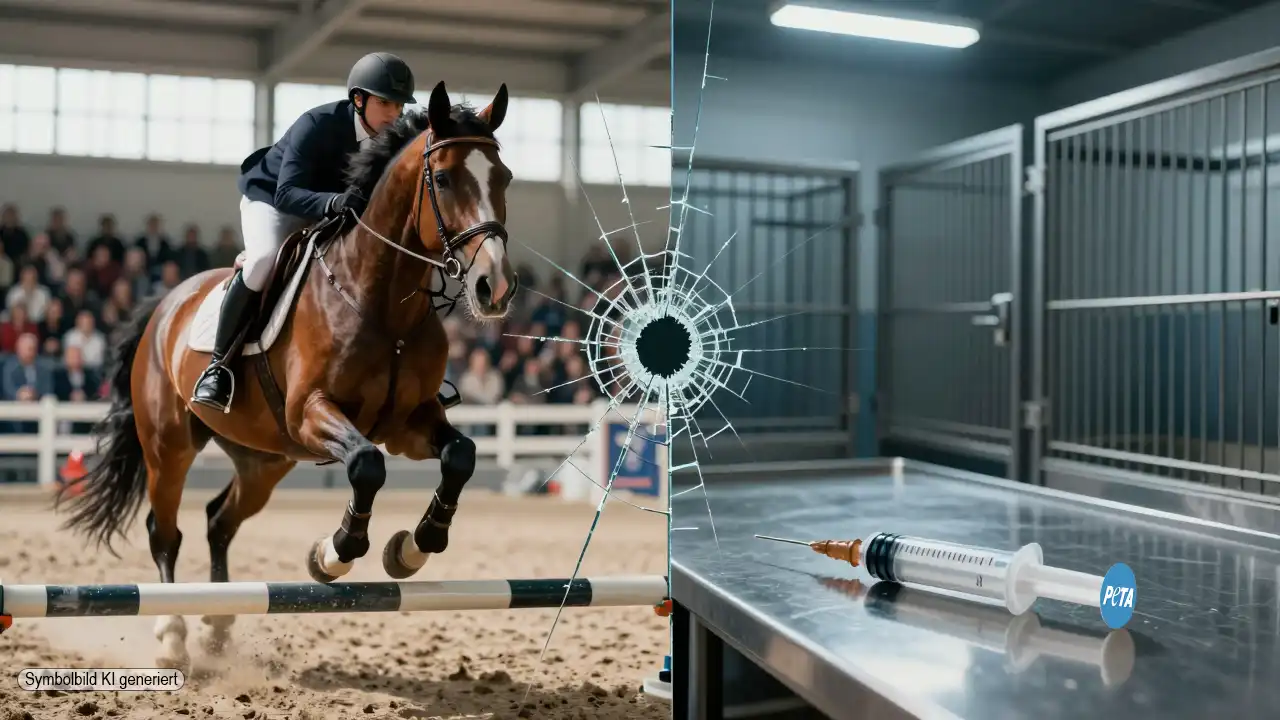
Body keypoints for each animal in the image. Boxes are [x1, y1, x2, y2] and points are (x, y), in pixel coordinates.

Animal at [54, 81, 519, 669]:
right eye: (443, 179)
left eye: (504, 178)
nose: (494, 288)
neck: (382, 301)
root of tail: (166, 304)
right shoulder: (310, 413)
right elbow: (365, 465)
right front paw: (334, 554)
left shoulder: (409, 424)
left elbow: (460, 455)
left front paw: (414, 547)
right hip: (169, 445)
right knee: (166, 532)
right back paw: (173, 636)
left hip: (264, 460)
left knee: (219, 520)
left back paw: (218, 625)